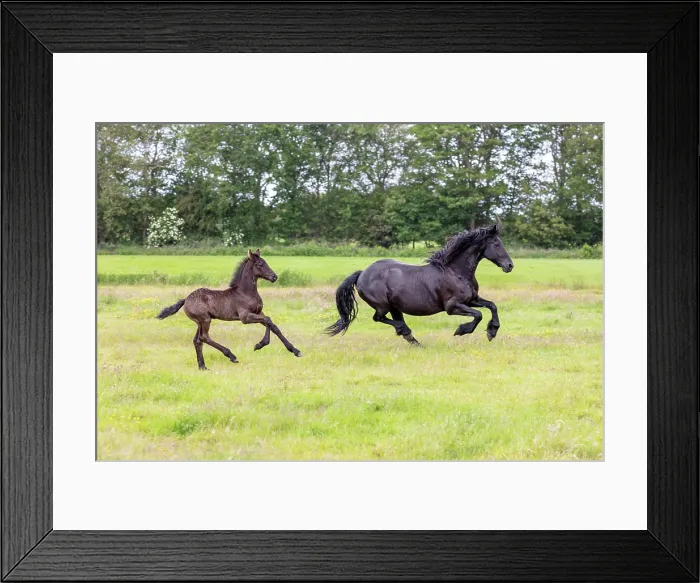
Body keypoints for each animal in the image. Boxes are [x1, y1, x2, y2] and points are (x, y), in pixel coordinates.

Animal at [156, 249, 302, 369]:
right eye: (260, 264)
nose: (274, 277)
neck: (246, 292)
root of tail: (185, 299)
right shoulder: (245, 317)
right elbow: (268, 320)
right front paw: (260, 344)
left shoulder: (258, 312)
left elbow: (271, 324)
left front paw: (294, 350)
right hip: (205, 319)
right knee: (204, 337)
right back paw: (231, 356)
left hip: (200, 322)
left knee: (197, 340)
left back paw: (203, 366)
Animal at [325, 217, 514, 345]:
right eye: (496, 244)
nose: (510, 265)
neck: (455, 272)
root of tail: (362, 273)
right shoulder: (452, 307)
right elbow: (478, 315)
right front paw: (461, 330)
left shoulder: (472, 300)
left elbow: (492, 306)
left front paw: (492, 331)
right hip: (383, 306)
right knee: (379, 318)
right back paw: (406, 331)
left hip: (394, 306)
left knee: (394, 320)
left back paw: (413, 340)